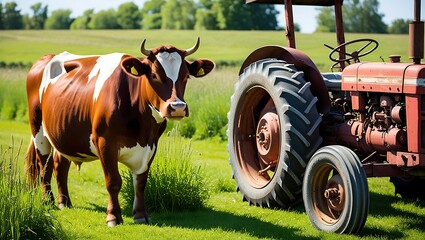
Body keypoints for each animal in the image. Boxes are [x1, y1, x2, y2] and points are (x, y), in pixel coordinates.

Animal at [24, 38, 214, 226]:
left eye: (186, 76)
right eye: (154, 75)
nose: (178, 107)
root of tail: (46, 58)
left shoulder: (151, 145)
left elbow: (141, 182)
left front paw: (141, 215)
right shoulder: (104, 142)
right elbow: (113, 181)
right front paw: (113, 216)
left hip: (63, 134)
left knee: (60, 165)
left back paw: (65, 202)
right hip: (39, 132)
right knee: (44, 166)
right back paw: (47, 201)